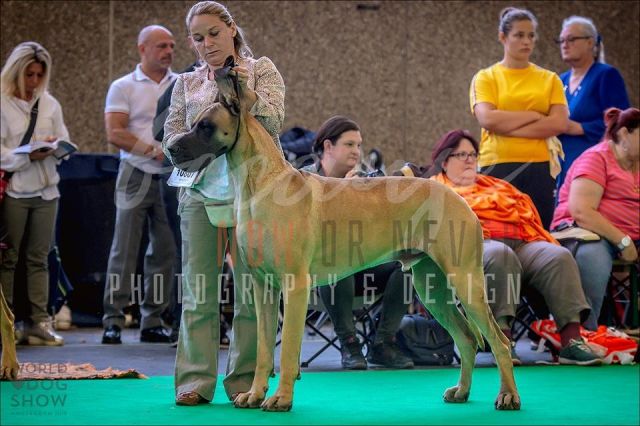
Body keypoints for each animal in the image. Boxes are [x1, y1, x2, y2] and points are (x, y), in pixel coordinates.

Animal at [166, 72, 520, 412]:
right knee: (467, 338)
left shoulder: (294, 286)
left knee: (499, 342)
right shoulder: (263, 288)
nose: (170, 149)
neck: (259, 184)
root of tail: (459, 197)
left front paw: (281, 399)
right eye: (193, 123)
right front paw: (254, 394)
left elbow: (287, 349)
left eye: (205, 126)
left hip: (465, 280)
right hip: (431, 286)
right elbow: (265, 349)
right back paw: (461, 391)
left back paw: (507, 397)